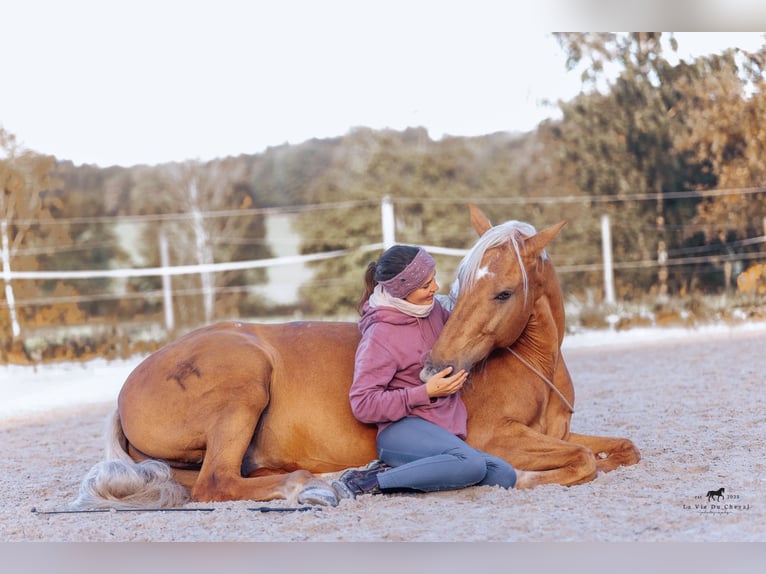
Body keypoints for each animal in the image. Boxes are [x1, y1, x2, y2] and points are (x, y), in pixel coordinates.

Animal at [74, 204, 639, 509]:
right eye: (459, 285)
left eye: (502, 293)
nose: (436, 366)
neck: (534, 367)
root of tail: (126, 389)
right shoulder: (495, 439)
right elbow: (581, 460)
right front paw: (525, 478)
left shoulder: (558, 433)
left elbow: (621, 449)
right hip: (245, 381)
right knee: (216, 484)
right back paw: (313, 483)